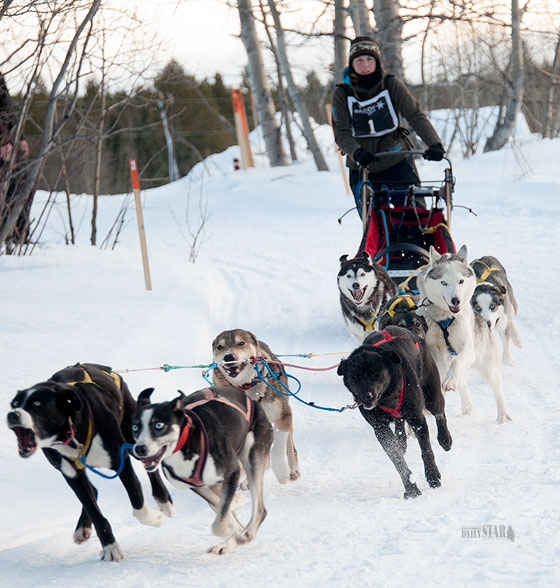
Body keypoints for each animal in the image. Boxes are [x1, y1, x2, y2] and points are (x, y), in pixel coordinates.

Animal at [6, 362, 173, 560]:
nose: (12, 414)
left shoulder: (120, 461)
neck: (72, 433)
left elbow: (137, 501)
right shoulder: (72, 474)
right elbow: (94, 511)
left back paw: (163, 500)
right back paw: (82, 528)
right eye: (15, 404)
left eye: (37, 403)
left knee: (151, 465)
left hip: (133, 437)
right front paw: (109, 547)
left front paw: (153, 518)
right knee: (93, 490)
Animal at [131, 388, 272, 552]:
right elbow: (219, 506)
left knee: (259, 510)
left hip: (252, 457)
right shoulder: (197, 486)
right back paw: (229, 543)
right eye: (135, 428)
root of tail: (250, 399)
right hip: (216, 483)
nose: (139, 448)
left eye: (159, 425)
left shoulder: (232, 472)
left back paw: (243, 534)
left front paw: (236, 506)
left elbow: (220, 520)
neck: (185, 445)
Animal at [212, 328, 300, 484]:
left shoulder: (282, 415)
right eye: (220, 347)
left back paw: (292, 469)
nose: (228, 357)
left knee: (289, 444)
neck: (246, 386)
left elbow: (278, 447)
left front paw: (281, 471)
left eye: (241, 343)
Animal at [336, 328, 450, 498]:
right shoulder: (380, 429)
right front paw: (411, 489)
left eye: (376, 374)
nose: (366, 396)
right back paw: (401, 440)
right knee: (399, 423)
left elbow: (426, 450)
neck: (387, 398)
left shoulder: (417, 418)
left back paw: (445, 439)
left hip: (432, 395)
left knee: (439, 413)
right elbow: (397, 459)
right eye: (355, 376)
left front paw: (433, 476)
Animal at [416, 246, 512, 424]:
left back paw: (502, 415)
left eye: (461, 281)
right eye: (444, 282)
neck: (445, 318)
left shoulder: (467, 349)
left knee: (498, 392)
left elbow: (457, 362)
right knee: (461, 382)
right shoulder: (432, 348)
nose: (456, 300)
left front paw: (449, 381)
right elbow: (440, 367)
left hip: (489, 368)